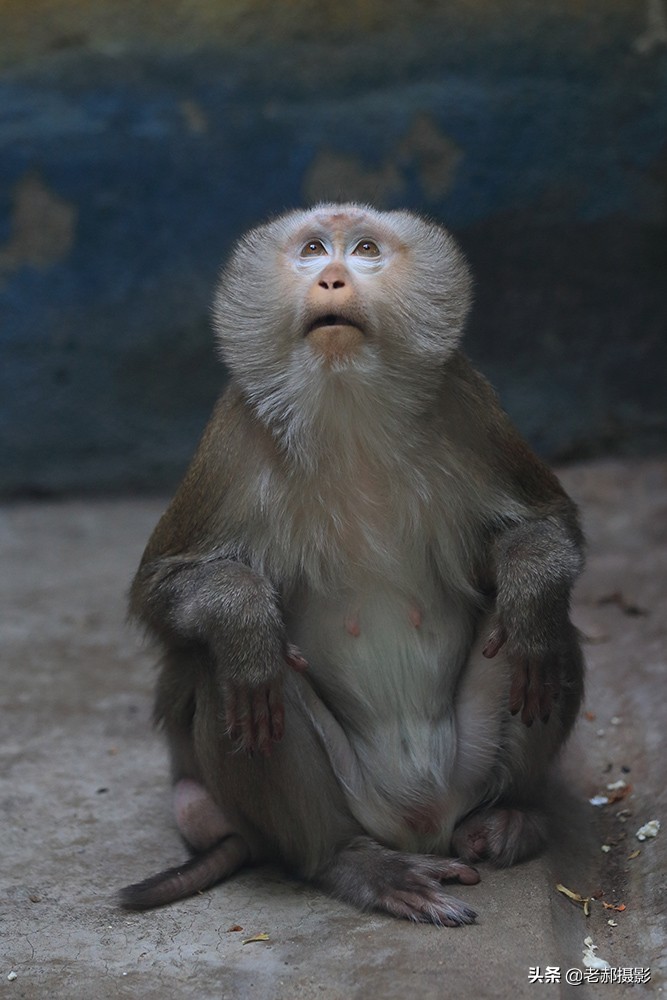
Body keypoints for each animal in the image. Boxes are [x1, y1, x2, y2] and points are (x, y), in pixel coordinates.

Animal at [118, 203, 584, 928]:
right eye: (312, 250)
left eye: (365, 249)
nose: (333, 279)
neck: (346, 407)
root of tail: (421, 820)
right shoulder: (231, 439)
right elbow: (164, 588)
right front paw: (243, 620)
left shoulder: (467, 405)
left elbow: (547, 525)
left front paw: (530, 591)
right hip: (351, 798)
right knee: (232, 677)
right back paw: (352, 862)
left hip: (468, 767)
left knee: (550, 638)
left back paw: (514, 812)